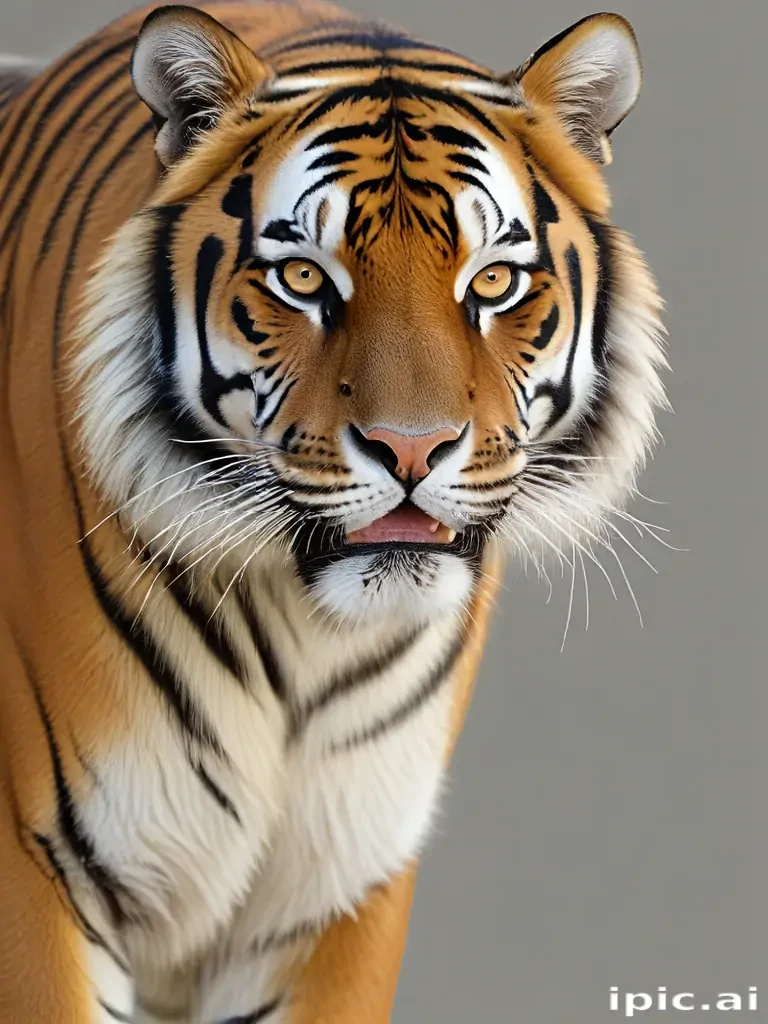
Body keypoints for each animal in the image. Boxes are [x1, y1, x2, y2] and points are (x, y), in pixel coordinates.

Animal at [0, 2, 666, 1021]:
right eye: (305, 280)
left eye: (492, 282)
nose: (411, 449)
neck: (303, 639)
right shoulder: (36, 876)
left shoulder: (339, 893)